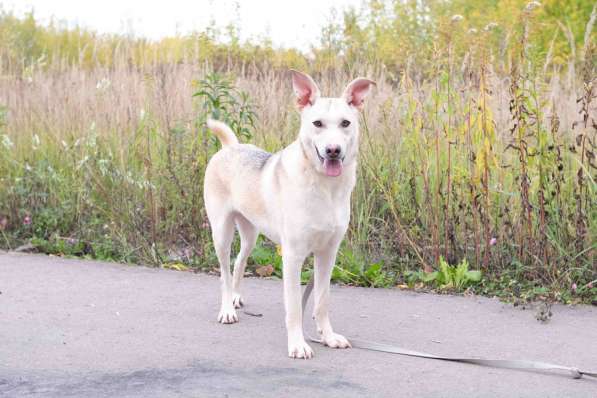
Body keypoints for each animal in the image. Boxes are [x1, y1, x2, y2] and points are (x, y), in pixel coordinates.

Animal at [204, 70, 372, 360]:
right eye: (317, 123)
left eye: (345, 123)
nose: (333, 150)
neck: (325, 188)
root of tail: (230, 148)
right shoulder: (292, 257)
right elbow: (294, 307)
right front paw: (297, 344)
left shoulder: (328, 254)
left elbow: (322, 301)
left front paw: (327, 337)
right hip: (221, 233)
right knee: (224, 271)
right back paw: (227, 309)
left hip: (250, 234)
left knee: (239, 262)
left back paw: (236, 298)